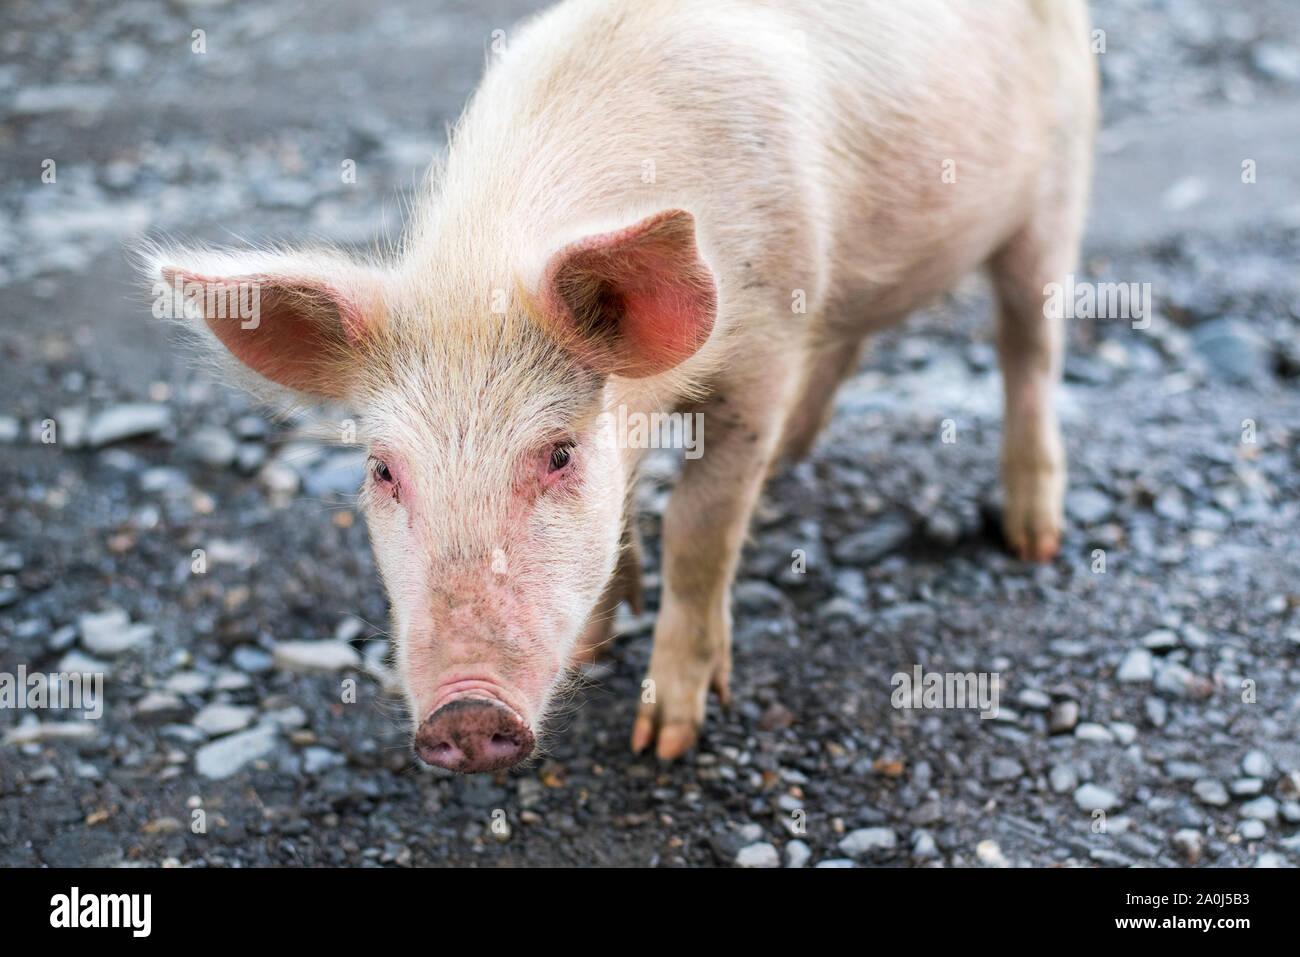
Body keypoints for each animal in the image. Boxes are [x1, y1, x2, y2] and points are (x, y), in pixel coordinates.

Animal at [144, 0, 1097, 769]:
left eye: (559, 453)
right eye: (382, 469)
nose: (464, 712)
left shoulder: (763, 352)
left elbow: (700, 526)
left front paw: (664, 739)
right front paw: (597, 646)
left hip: (1055, 187)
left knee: (1029, 348)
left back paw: (1032, 539)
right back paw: (797, 456)